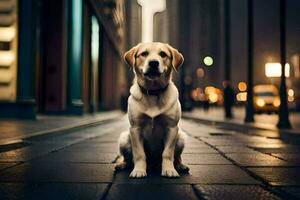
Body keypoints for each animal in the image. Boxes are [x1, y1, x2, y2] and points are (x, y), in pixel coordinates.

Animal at [115, 42, 189, 178]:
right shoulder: (135, 129)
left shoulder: (172, 128)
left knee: (177, 157)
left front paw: (169, 170)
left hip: (181, 137)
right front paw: (138, 170)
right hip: (124, 138)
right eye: (144, 53)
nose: (153, 63)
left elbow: (167, 153)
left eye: (163, 54)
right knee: (128, 158)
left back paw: (180, 166)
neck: (153, 92)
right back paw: (122, 164)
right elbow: (139, 153)